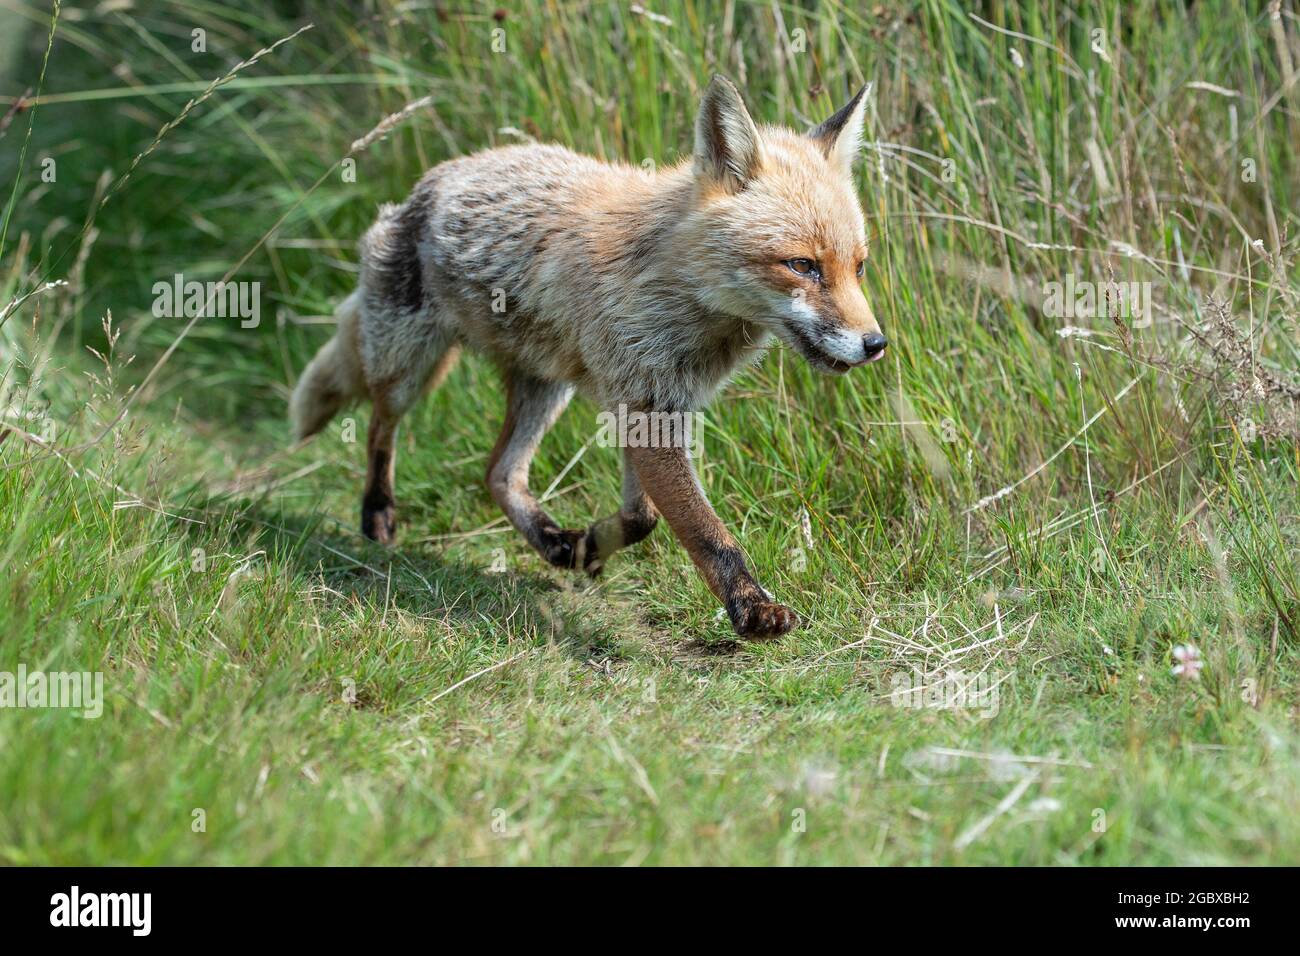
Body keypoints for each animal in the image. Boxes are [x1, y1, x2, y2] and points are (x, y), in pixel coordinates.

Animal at [290, 76, 886, 639]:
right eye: (802, 265)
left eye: (857, 267)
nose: (875, 344)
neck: (674, 288)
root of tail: (431, 180)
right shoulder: (646, 404)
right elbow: (704, 531)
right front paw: (751, 608)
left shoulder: (653, 407)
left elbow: (642, 517)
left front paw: (591, 548)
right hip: (407, 367)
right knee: (379, 427)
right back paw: (377, 514)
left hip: (545, 388)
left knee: (498, 472)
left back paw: (552, 540)